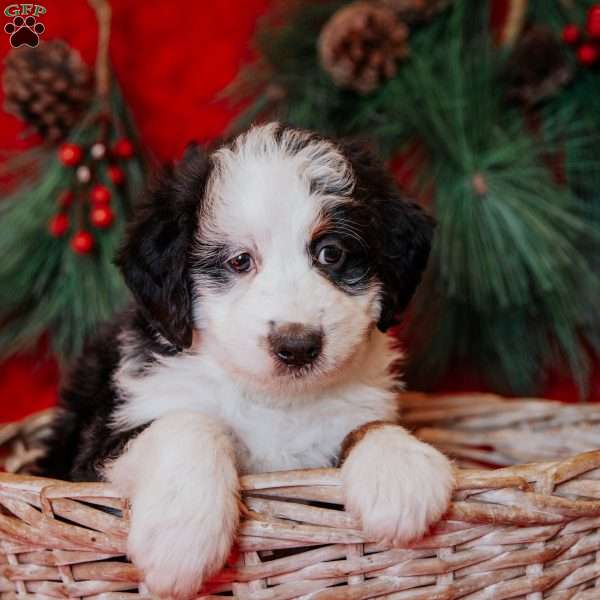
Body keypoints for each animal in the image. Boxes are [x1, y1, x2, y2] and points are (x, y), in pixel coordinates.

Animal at [39, 124, 452, 596]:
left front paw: (400, 469)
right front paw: (180, 537)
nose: (297, 345)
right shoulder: (95, 454)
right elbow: (189, 422)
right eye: (239, 261)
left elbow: (366, 424)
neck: (274, 401)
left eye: (331, 253)